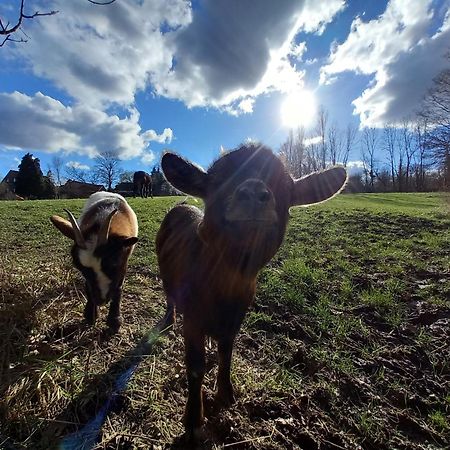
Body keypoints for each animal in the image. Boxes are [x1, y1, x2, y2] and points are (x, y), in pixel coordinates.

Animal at [49, 192, 137, 332]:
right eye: (79, 267)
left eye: (113, 265)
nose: (101, 300)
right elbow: (88, 286)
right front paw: (91, 315)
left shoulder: (124, 261)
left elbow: (118, 286)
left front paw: (114, 321)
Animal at [156, 142, 348, 438]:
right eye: (218, 180)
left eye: (285, 186)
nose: (253, 193)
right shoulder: (194, 319)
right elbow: (196, 365)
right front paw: (193, 419)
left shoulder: (237, 318)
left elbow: (226, 354)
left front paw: (226, 395)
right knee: (169, 295)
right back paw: (168, 320)